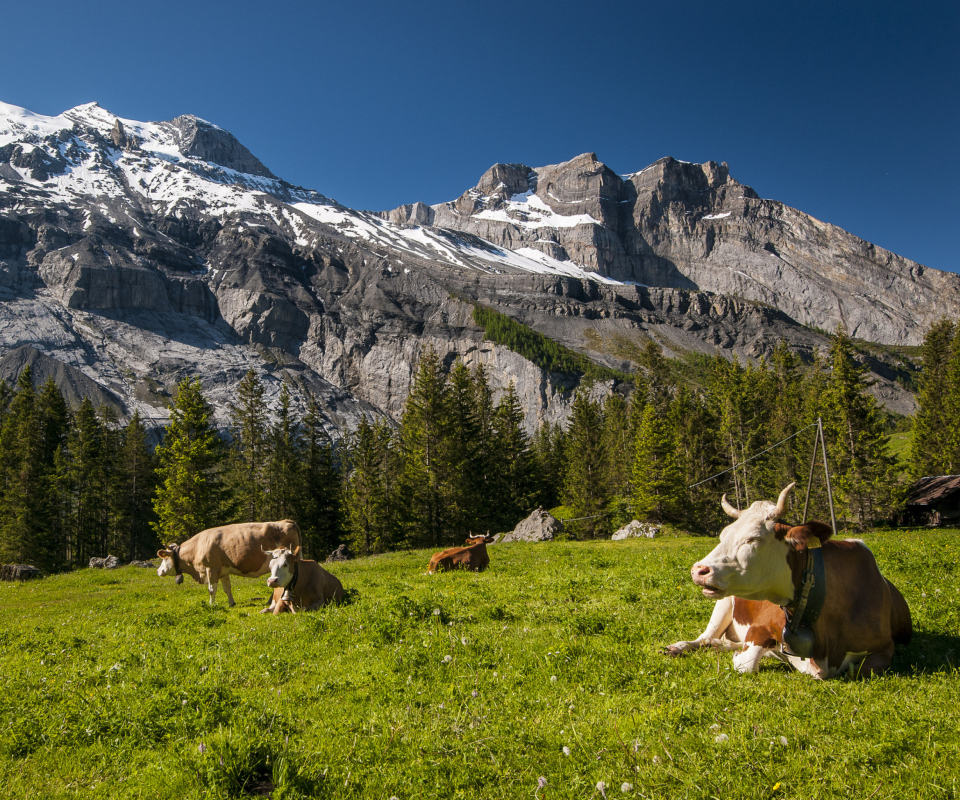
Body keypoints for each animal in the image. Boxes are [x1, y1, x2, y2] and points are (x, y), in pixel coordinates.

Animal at [158, 520, 300, 608]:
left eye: (164, 558)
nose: (158, 571)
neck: (198, 546)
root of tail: (286, 521)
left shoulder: (211, 569)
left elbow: (212, 589)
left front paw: (211, 604)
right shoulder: (223, 572)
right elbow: (227, 588)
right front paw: (231, 603)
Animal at [664, 484, 912, 680]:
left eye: (753, 538)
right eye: (723, 535)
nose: (698, 570)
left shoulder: (885, 647)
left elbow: (859, 670)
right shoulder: (761, 626)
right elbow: (746, 663)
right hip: (724, 604)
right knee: (704, 638)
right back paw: (678, 647)